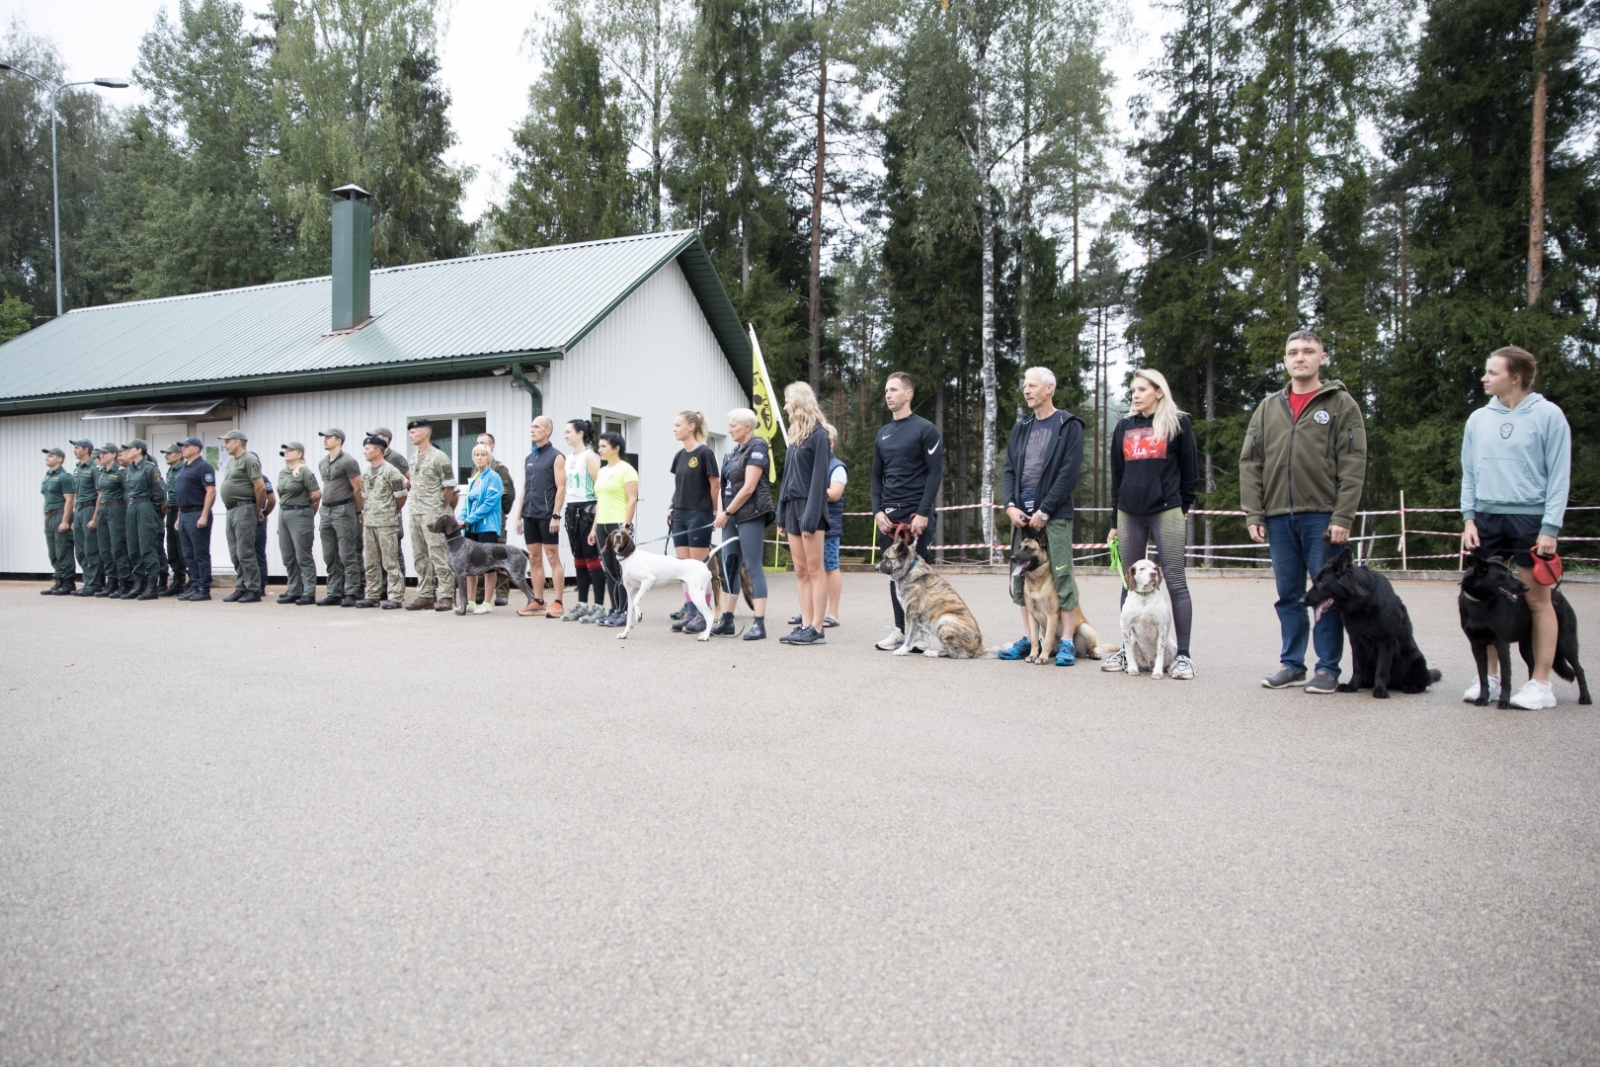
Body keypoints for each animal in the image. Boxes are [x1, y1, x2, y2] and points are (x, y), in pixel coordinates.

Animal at [1004, 531, 1107, 662]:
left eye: (1029, 549)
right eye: (1019, 547)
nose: (1012, 558)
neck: (1037, 583)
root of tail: (1076, 651)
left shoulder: (1052, 616)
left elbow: (1048, 640)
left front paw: (1042, 658)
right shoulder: (1032, 616)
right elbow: (1034, 640)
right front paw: (1033, 655)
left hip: (1085, 629)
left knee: (1092, 648)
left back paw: (1092, 654)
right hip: (1044, 629)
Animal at [1292, 550, 1446, 700]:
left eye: (1321, 584)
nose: (1300, 601)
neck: (1363, 603)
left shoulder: (1385, 640)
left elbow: (1382, 668)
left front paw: (1379, 690)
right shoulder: (1355, 640)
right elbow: (1357, 666)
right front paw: (1352, 686)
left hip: (1415, 658)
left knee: (1424, 682)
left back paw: (1411, 686)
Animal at [1465, 559, 1587, 710]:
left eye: (1510, 573)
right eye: (1504, 574)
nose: (1526, 587)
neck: (1481, 604)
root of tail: (1559, 596)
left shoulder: (1502, 645)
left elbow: (1506, 677)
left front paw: (1504, 701)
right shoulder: (1477, 646)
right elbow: (1483, 677)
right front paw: (1483, 698)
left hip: (1565, 643)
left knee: (1580, 670)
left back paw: (1585, 697)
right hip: (1526, 648)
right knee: (1533, 666)